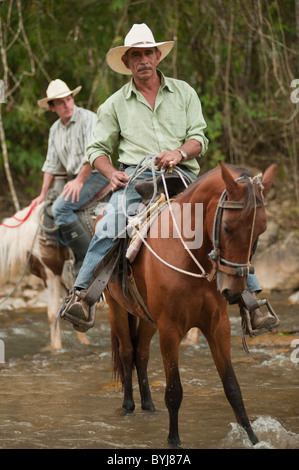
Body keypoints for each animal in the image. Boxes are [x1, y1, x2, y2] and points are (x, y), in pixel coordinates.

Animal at [105, 162, 278, 448]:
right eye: (227, 227)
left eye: (261, 230)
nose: (232, 290)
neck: (190, 255)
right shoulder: (170, 330)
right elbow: (174, 391)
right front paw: (174, 441)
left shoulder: (218, 326)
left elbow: (232, 387)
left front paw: (254, 439)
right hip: (116, 308)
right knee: (127, 351)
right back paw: (129, 405)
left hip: (147, 317)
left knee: (141, 352)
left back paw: (148, 405)